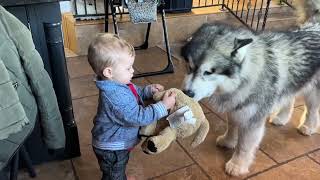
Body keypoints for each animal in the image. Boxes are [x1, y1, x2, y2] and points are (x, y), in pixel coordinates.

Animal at [181, 11, 320, 176]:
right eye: (189, 67)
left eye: (208, 72)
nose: (186, 93)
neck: (245, 76)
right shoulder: (236, 108)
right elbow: (232, 126)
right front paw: (228, 141)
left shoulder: (251, 120)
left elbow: (244, 146)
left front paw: (237, 164)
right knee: (289, 98)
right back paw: (282, 118)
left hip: (313, 93)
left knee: (312, 110)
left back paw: (309, 127)